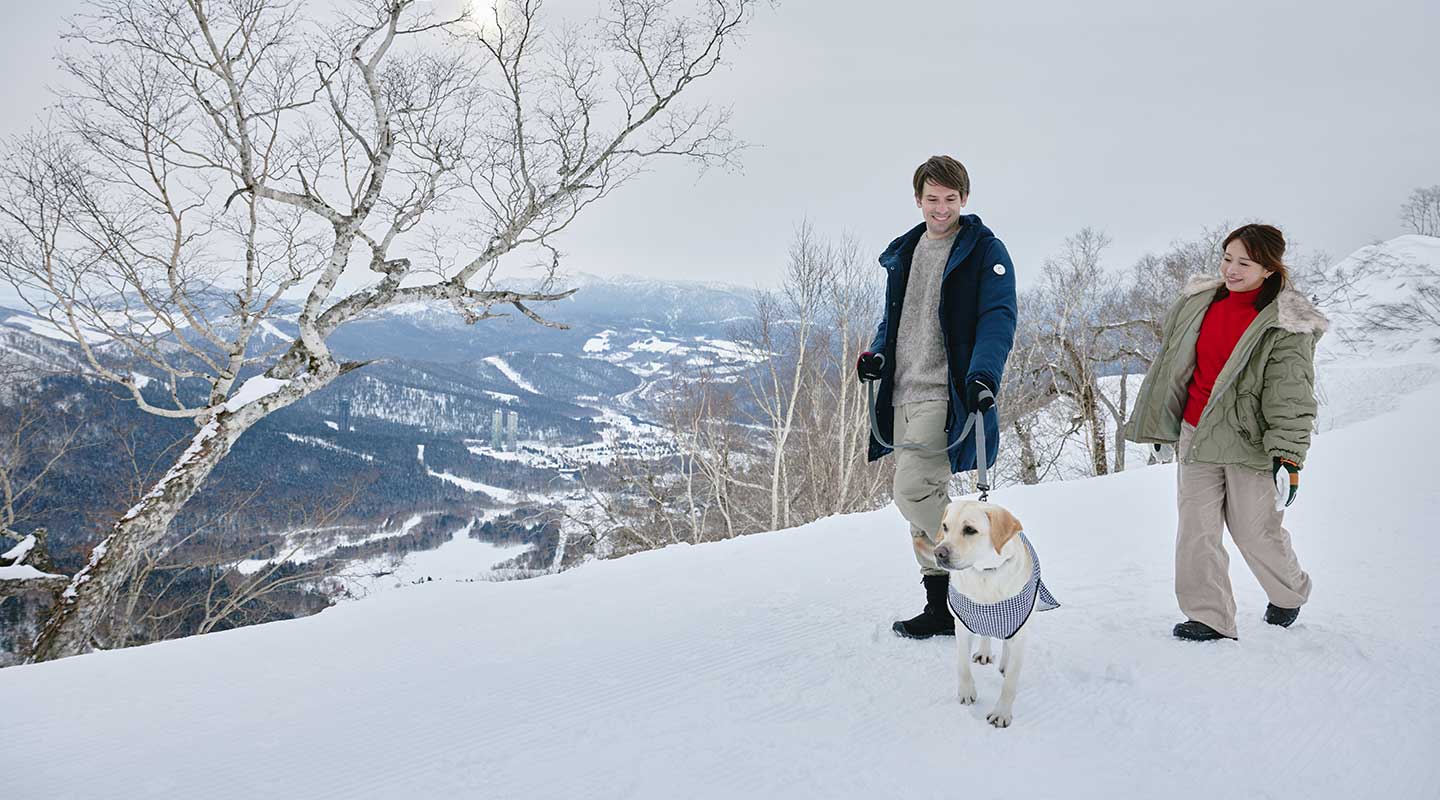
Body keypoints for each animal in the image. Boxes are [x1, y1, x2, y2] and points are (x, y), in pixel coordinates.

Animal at [933, 500, 1059, 730]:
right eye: (945, 527)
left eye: (970, 530)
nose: (938, 553)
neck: (986, 572)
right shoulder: (963, 625)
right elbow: (962, 665)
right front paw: (966, 692)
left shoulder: (1019, 629)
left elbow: (1010, 683)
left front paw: (1001, 713)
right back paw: (984, 652)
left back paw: (1005, 664)